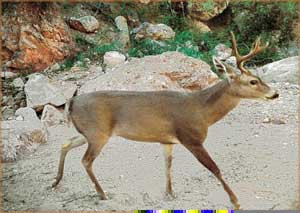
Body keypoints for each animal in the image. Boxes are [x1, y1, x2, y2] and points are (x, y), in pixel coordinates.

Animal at [51, 32, 278, 209]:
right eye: (253, 81)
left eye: (259, 78)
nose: (275, 93)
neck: (201, 110)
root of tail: (71, 101)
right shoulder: (191, 138)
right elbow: (215, 168)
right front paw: (235, 201)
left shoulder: (167, 141)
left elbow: (168, 165)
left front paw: (169, 193)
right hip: (98, 133)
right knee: (85, 160)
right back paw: (102, 193)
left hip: (89, 132)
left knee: (65, 143)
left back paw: (56, 181)